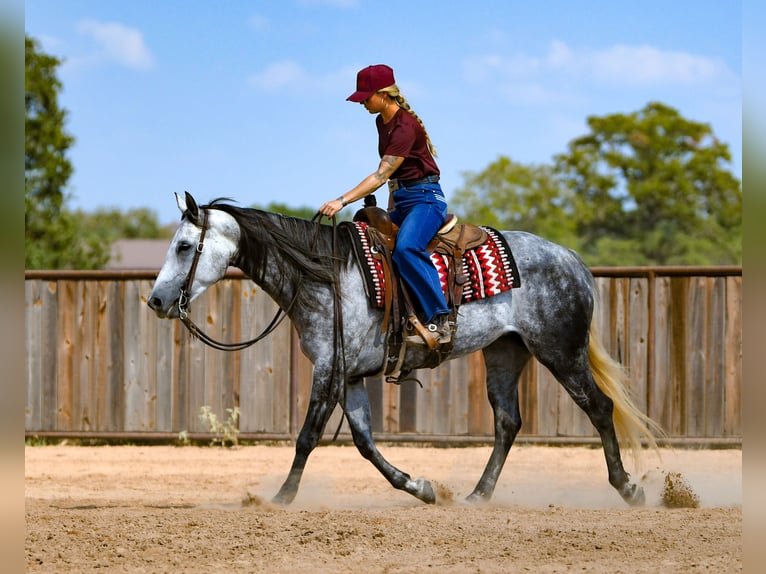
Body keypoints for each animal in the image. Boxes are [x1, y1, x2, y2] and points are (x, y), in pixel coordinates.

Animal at [147, 192, 660, 506]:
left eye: (185, 245)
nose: (155, 300)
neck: (326, 276)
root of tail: (571, 259)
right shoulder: (350, 375)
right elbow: (363, 441)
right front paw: (420, 487)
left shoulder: (329, 369)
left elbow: (308, 436)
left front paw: (280, 498)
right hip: (505, 352)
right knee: (508, 422)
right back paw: (478, 495)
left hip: (561, 352)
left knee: (600, 407)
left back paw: (628, 489)